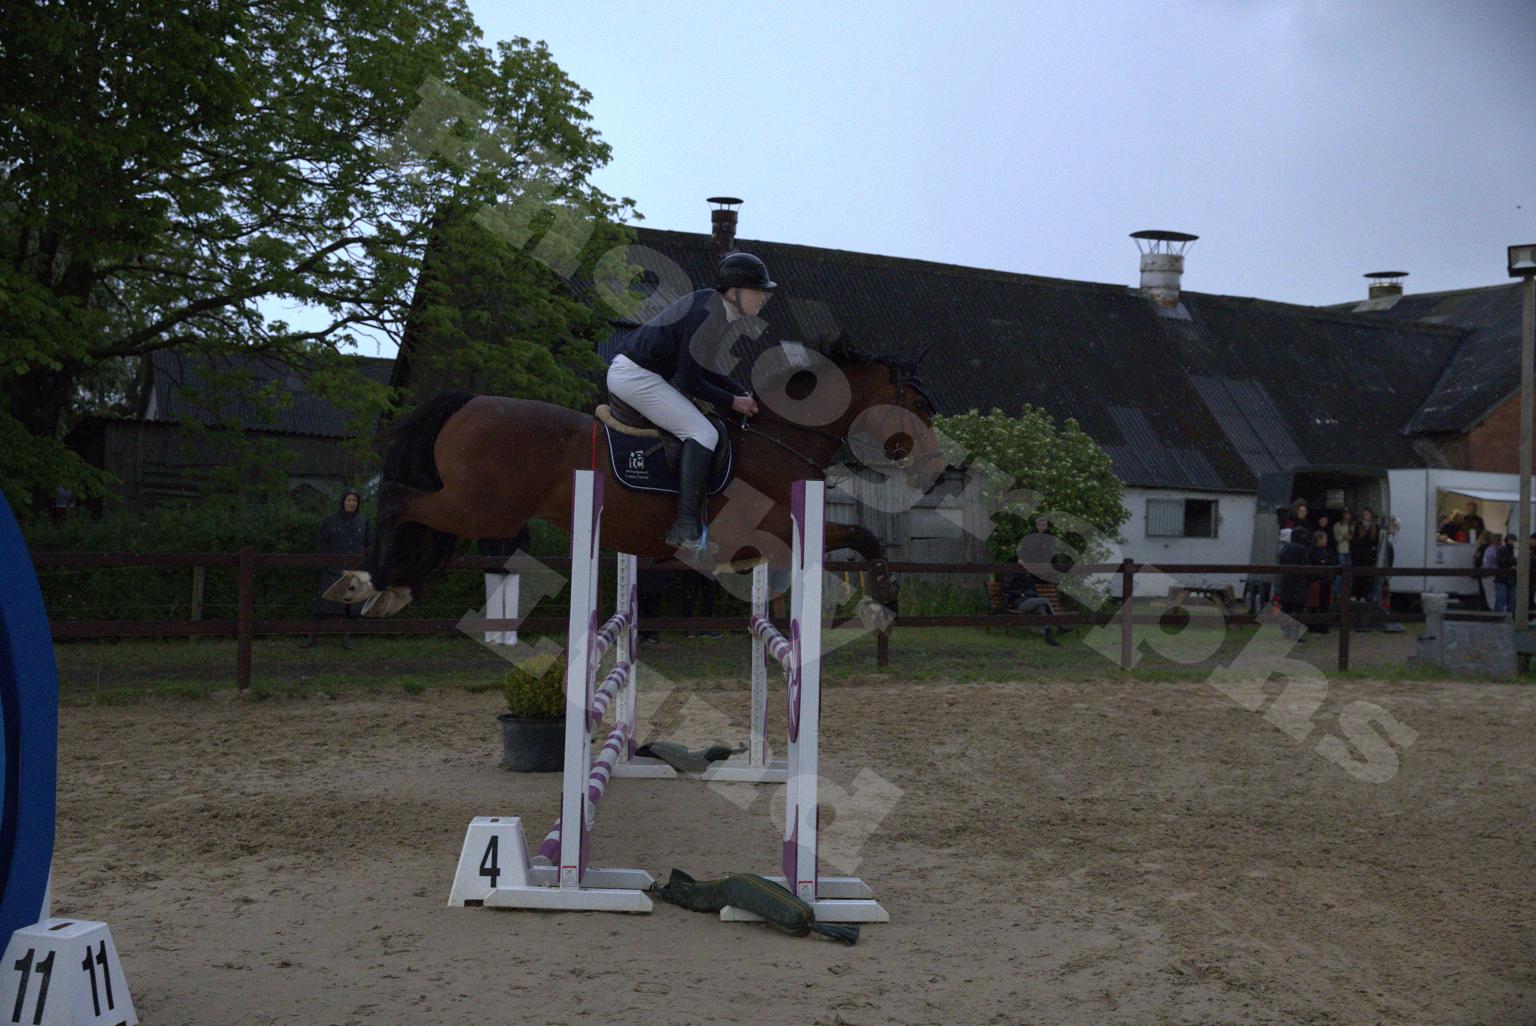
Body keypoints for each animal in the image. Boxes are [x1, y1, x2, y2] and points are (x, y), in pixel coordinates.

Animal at [325, 337, 943, 616]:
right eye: (918, 404)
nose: (937, 469)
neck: (781, 438)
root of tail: (469, 400)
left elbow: (859, 537)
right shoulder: (777, 532)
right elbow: (863, 535)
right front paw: (884, 602)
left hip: (478, 506)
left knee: (424, 523)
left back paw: (393, 587)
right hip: (483, 507)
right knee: (399, 500)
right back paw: (366, 580)